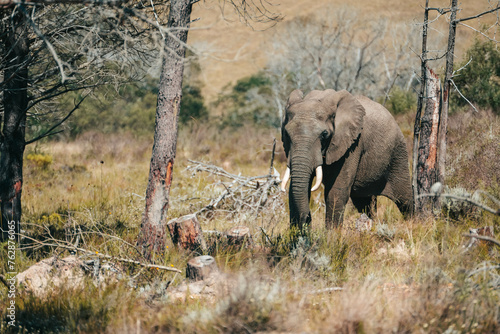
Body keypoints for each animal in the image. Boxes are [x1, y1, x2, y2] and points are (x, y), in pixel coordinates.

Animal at [282, 88, 414, 230]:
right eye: (287, 134)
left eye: (324, 134)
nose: (308, 221)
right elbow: (293, 191)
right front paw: (297, 233)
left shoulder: (353, 144)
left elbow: (336, 191)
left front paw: (332, 234)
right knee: (365, 203)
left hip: (398, 153)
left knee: (405, 198)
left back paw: (416, 222)